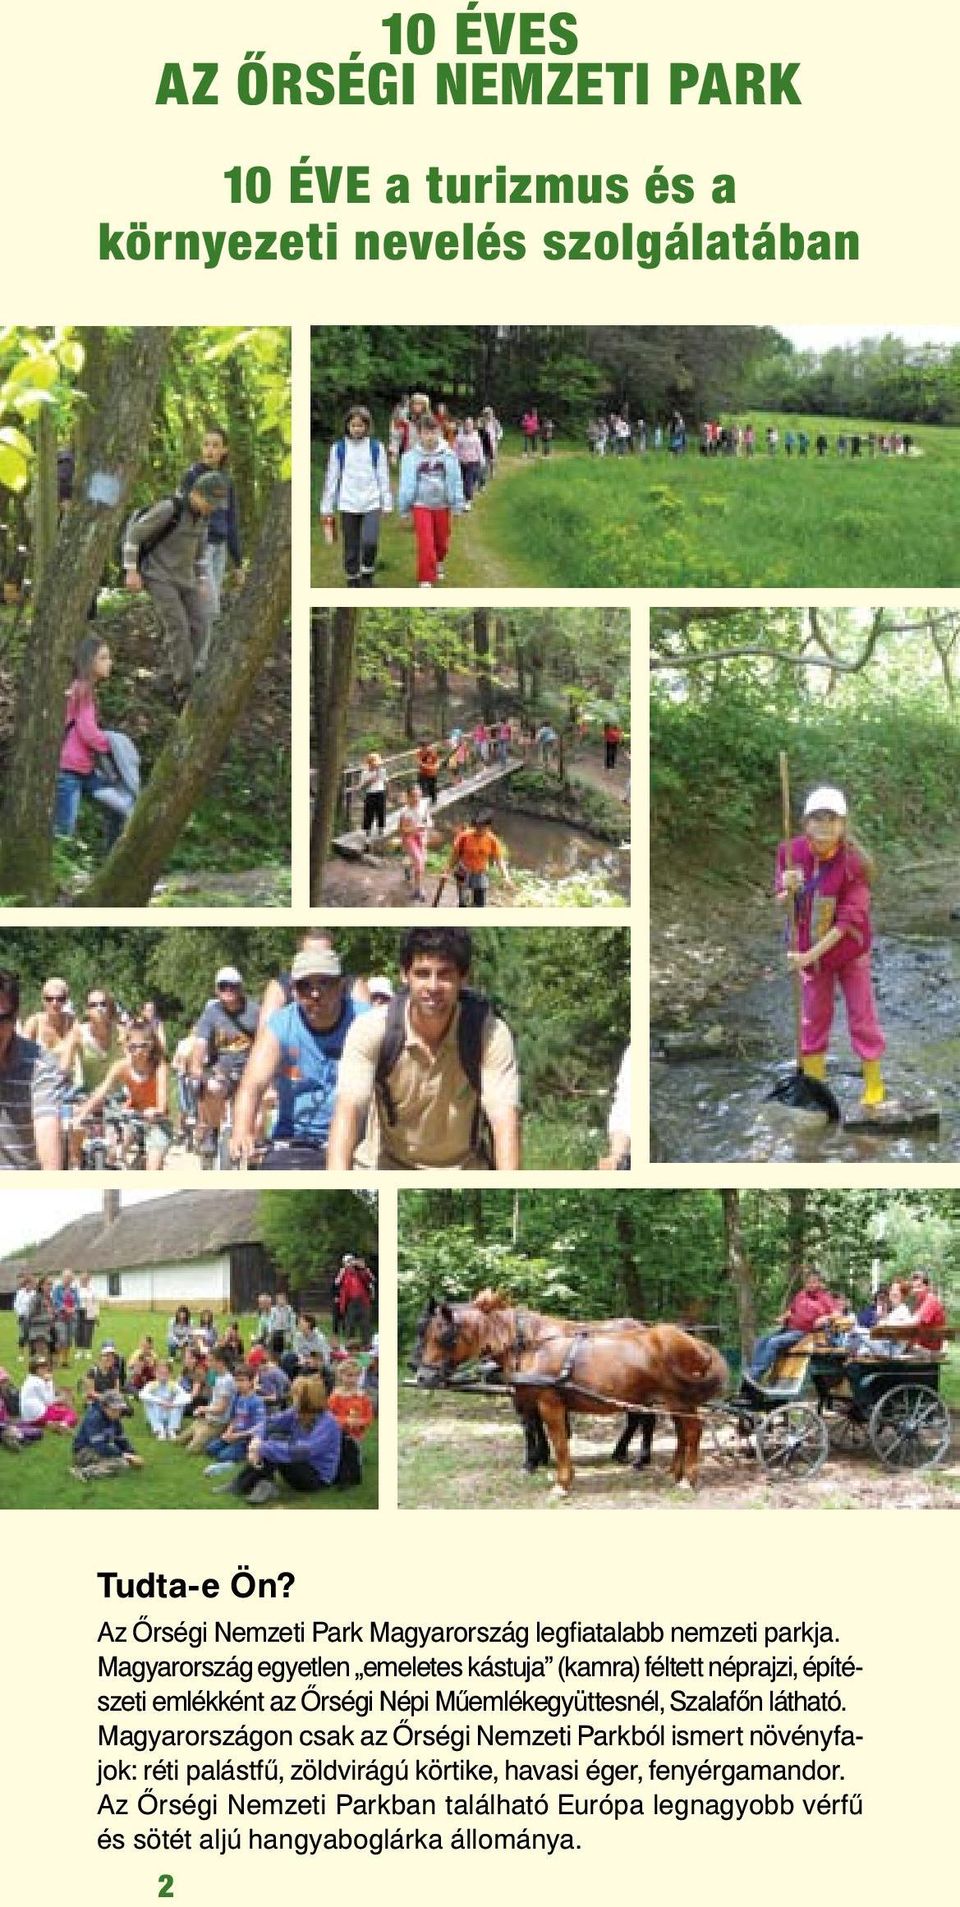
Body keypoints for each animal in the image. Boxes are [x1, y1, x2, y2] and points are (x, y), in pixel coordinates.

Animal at [414, 1296, 729, 1487]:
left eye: (445, 1335)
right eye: (424, 1333)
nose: (422, 1376)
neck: (532, 1344)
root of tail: (695, 1342)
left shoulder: (548, 1401)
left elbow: (556, 1439)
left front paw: (559, 1480)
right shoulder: (527, 1398)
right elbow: (539, 1432)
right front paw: (539, 1464)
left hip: (676, 1399)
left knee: (691, 1430)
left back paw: (682, 1477)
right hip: (668, 1400)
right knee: (680, 1431)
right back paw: (672, 1472)